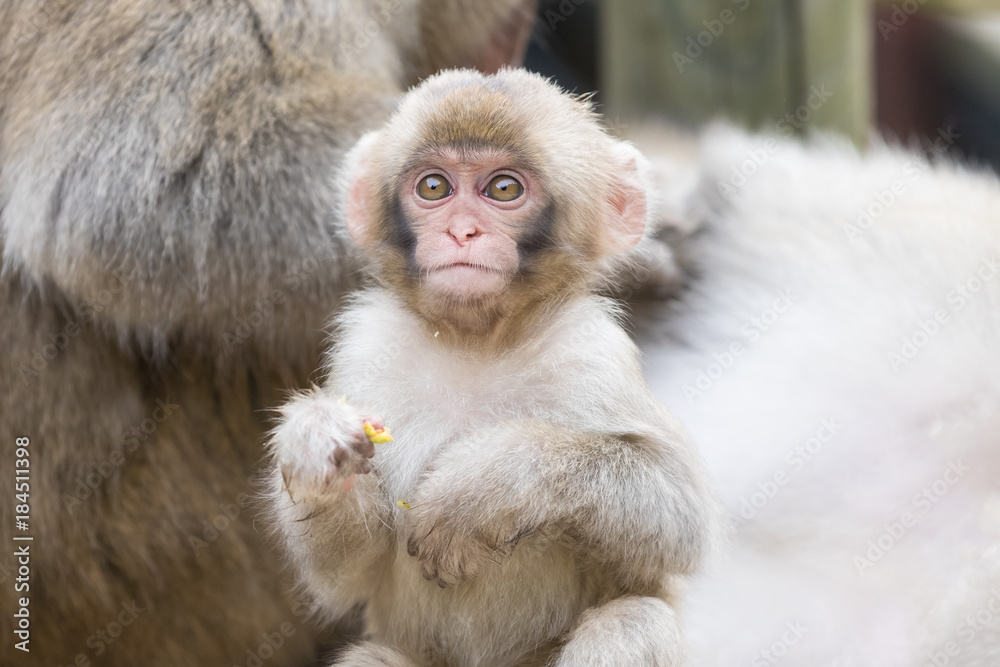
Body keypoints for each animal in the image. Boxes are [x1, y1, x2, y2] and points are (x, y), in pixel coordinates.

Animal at [268, 69, 720, 667]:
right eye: (434, 188)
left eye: (504, 189)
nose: (462, 231)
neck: (476, 342)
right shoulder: (367, 351)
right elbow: (345, 574)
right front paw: (315, 443)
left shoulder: (592, 352)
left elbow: (681, 516)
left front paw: (485, 486)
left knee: (633, 620)